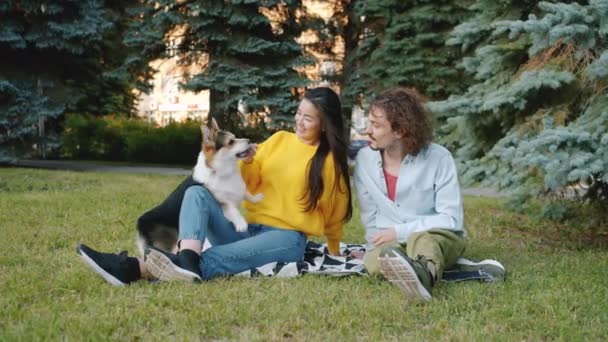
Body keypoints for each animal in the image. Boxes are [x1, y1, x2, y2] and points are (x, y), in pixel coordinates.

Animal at [135, 117, 262, 254]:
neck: (219, 170)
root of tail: (140, 223)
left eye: (235, 137)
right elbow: (233, 210)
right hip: (170, 245)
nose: (249, 140)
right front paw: (241, 223)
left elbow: (247, 194)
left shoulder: (238, 189)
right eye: (231, 142)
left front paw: (258, 198)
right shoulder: (222, 203)